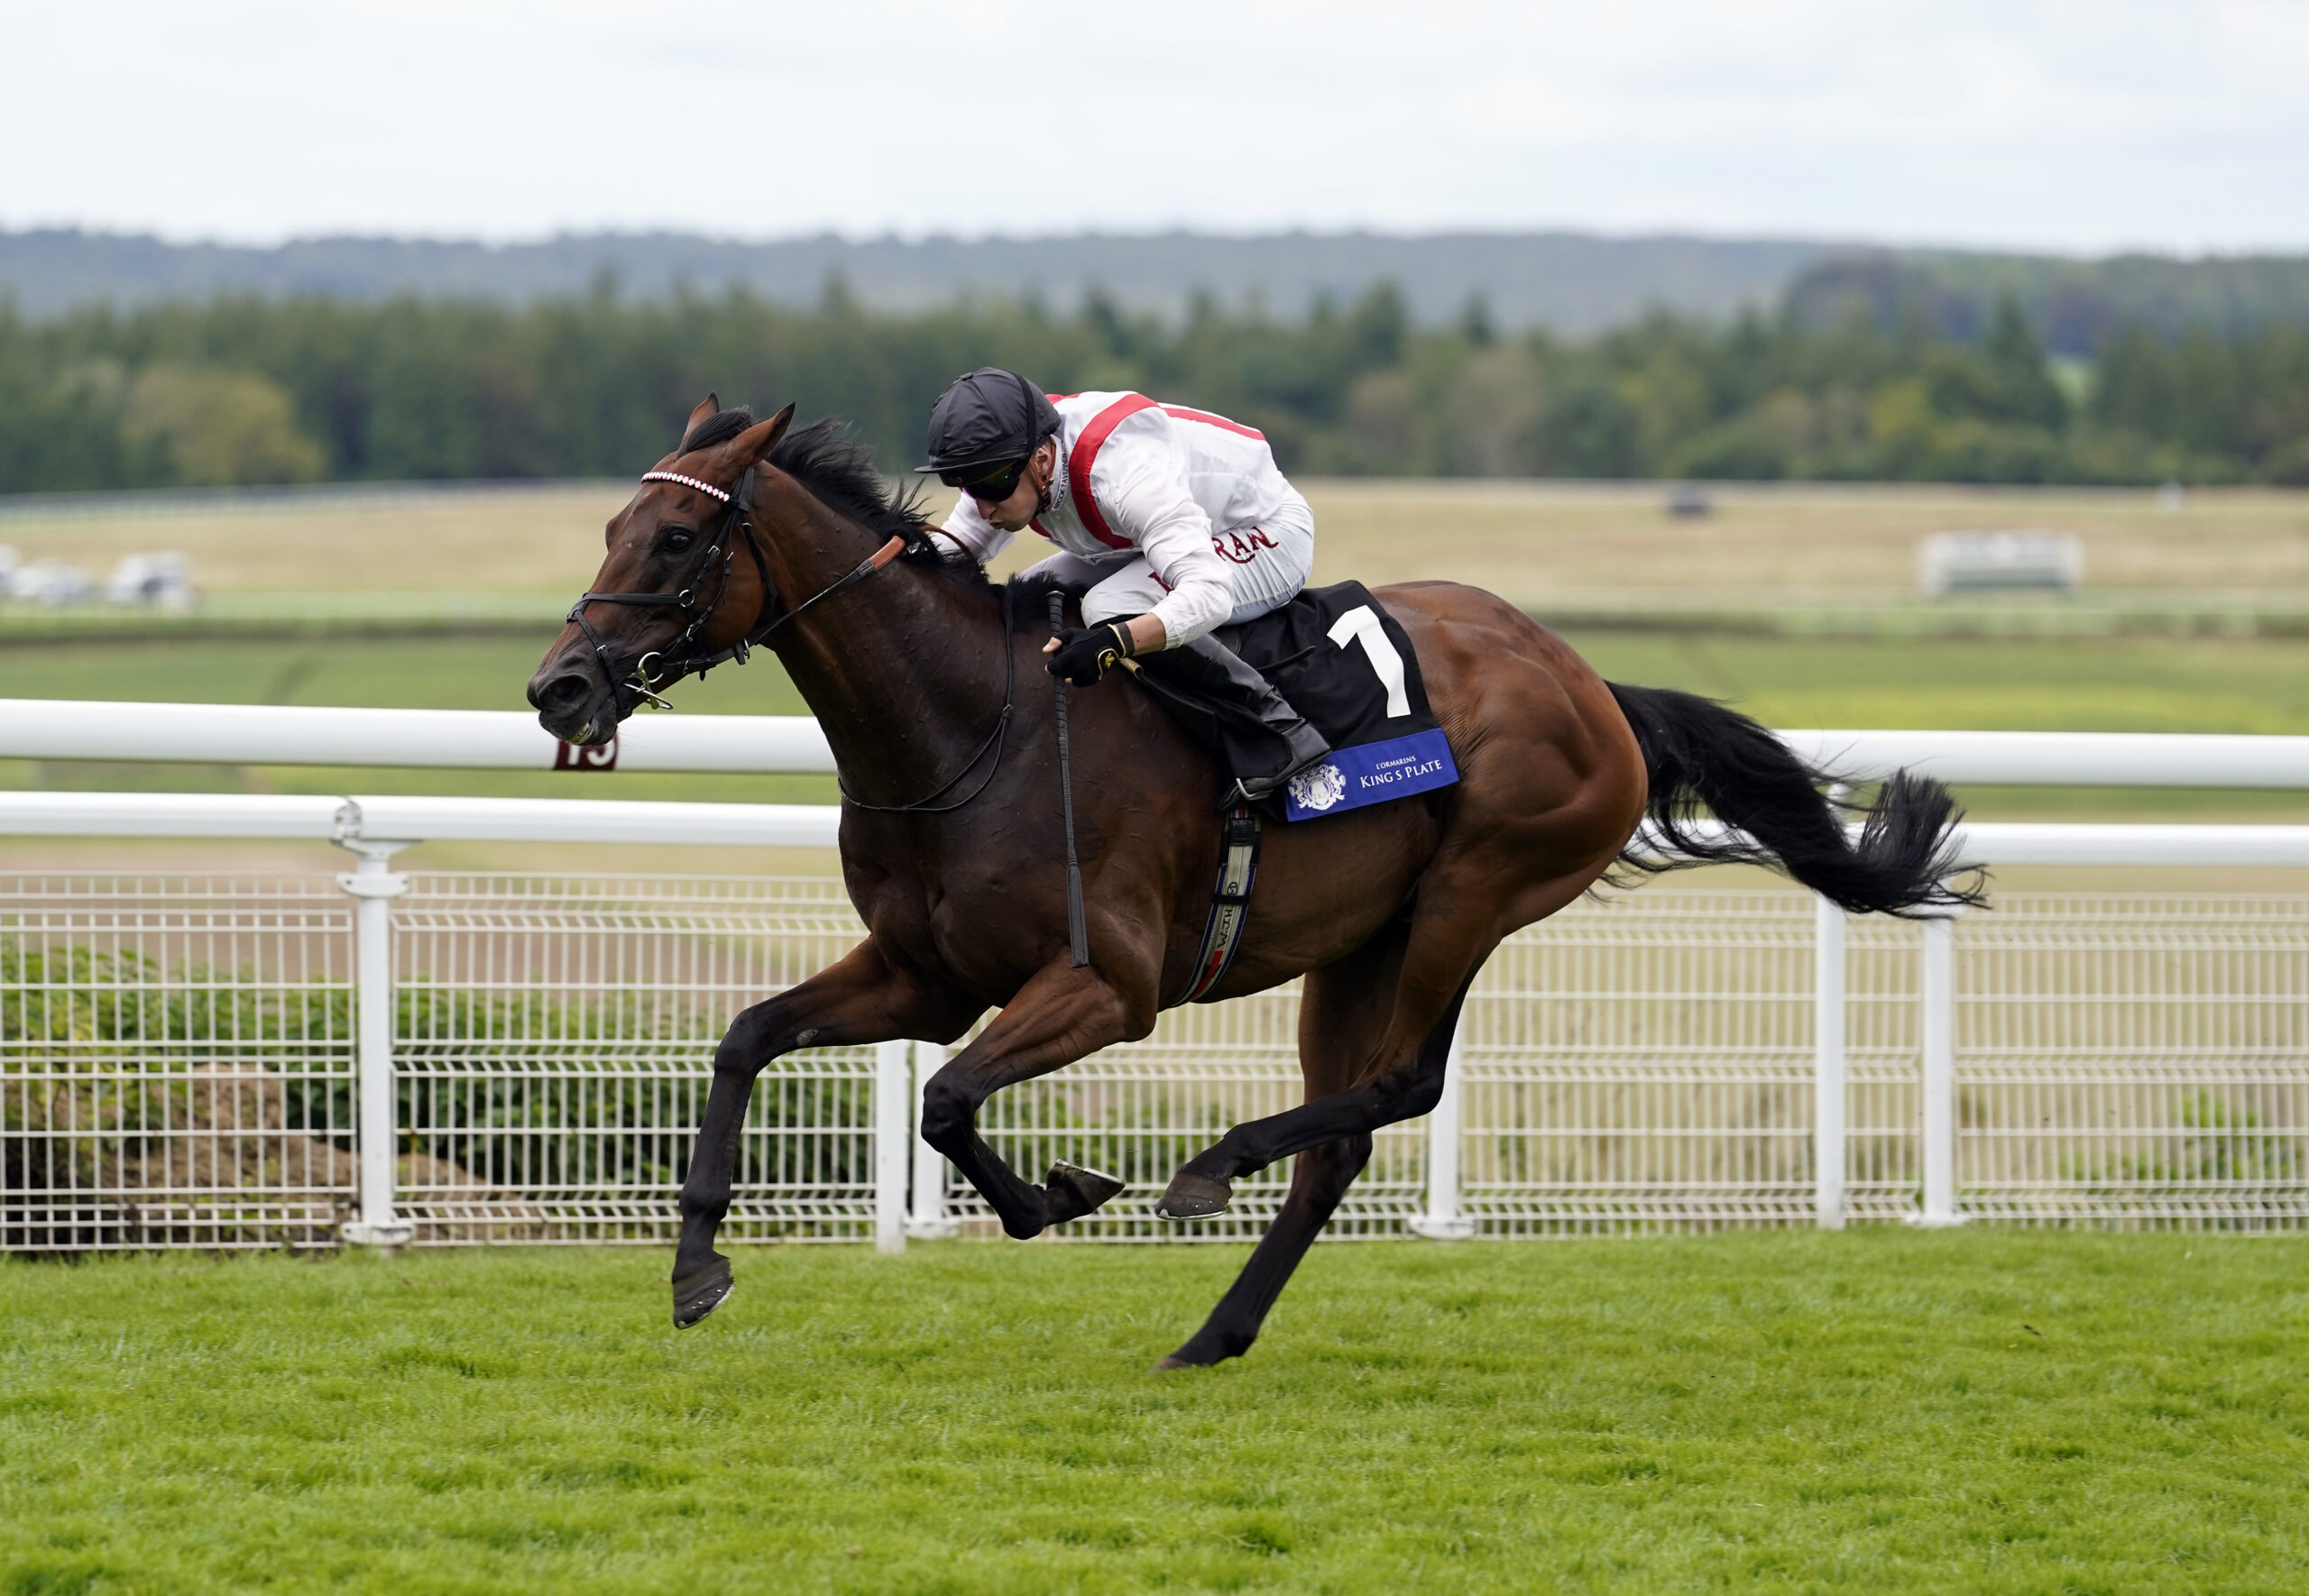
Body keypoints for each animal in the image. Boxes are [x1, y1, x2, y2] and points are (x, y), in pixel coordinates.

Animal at [529, 399, 1967, 1376]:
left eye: (674, 537)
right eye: (608, 525)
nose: (560, 685)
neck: (972, 725)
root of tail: (1590, 683)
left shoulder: (1105, 987)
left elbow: (944, 1101)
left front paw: (1061, 1194)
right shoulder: (923, 975)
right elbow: (747, 1037)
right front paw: (697, 1268)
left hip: (1475, 892)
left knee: (1397, 1086)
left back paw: (1211, 1168)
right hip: (1362, 939)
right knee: (1342, 1138)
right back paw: (1214, 1330)